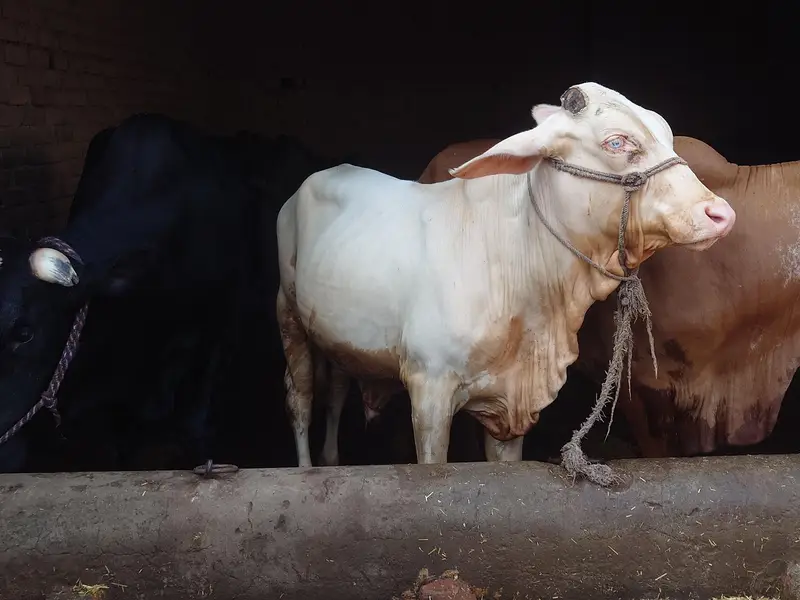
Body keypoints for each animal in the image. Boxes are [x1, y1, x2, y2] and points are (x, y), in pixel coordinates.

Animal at [276, 82, 736, 467]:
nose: (720, 213)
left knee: (336, 393)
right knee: (301, 399)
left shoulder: (512, 405)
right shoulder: (429, 388)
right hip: (289, 316)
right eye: (617, 142)